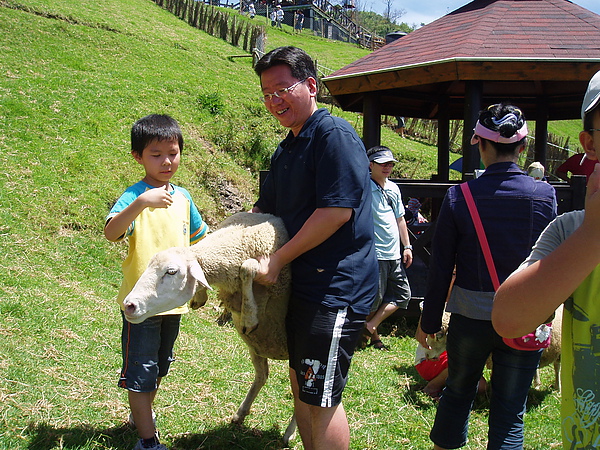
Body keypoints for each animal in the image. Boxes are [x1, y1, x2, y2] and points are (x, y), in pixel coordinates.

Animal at [120, 214, 296, 442]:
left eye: (171, 272)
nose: (129, 305)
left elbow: (247, 267)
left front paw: (249, 316)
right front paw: (200, 295)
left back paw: (289, 433)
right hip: (258, 347)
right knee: (262, 376)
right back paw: (240, 414)